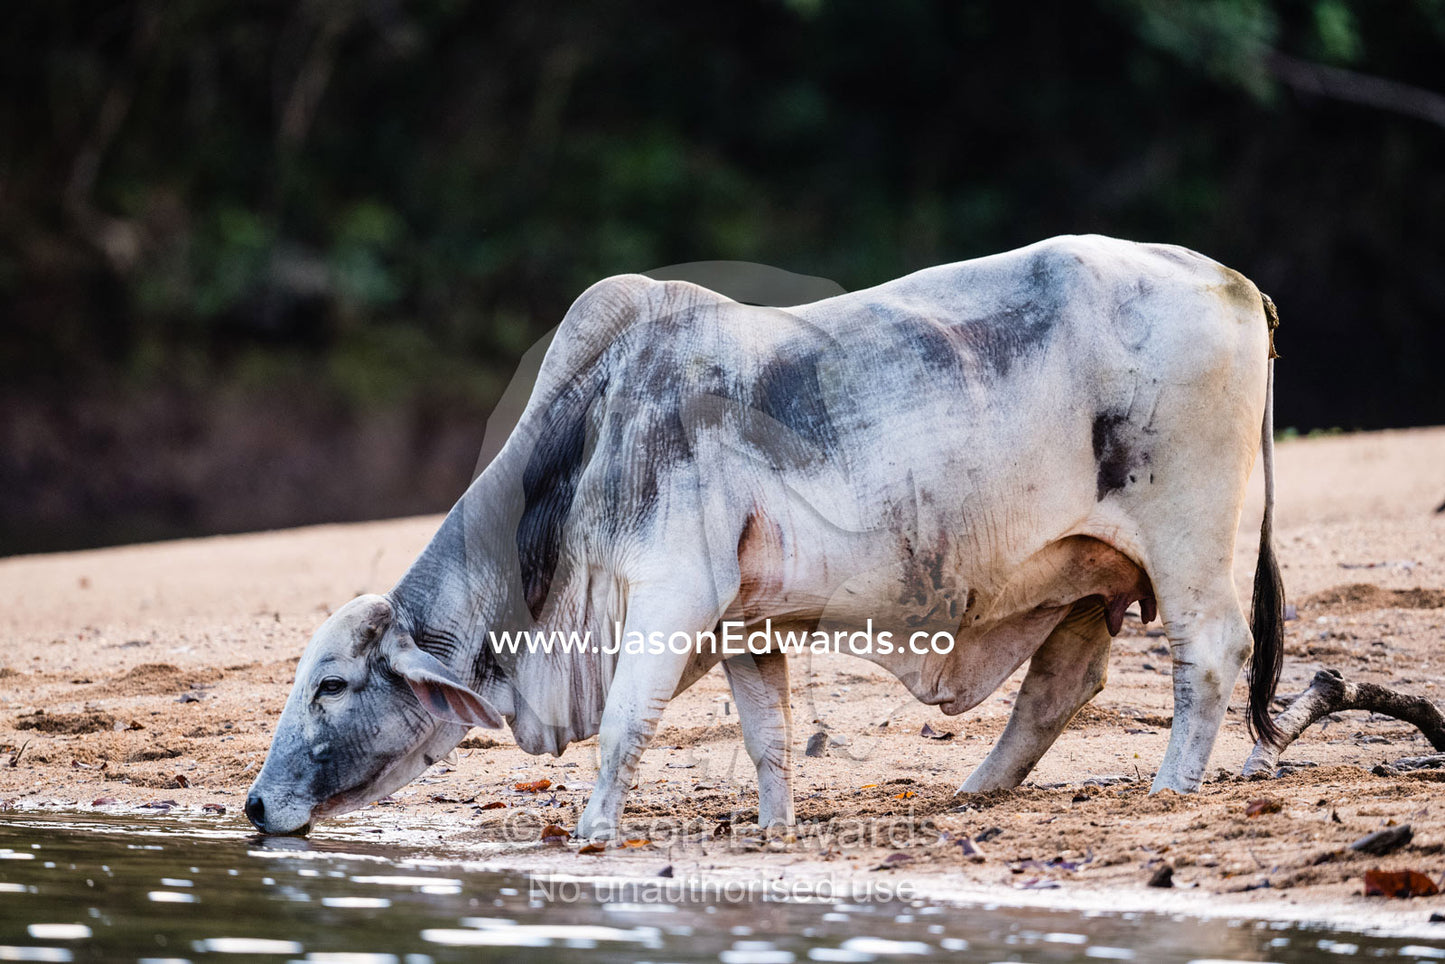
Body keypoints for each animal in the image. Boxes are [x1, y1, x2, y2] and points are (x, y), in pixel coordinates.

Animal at [244, 234, 1285, 839]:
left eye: (332, 685)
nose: (253, 805)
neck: (592, 444)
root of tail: (1229, 280)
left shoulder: (672, 598)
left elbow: (624, 727)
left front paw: (590, 835)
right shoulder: (747, 628)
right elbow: (769, 740)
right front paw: (775, 828)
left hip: (1185, 538)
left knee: (1209, 651)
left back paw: (1169, 788)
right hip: (1084, 576)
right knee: (1063, 684)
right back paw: (975, 792)